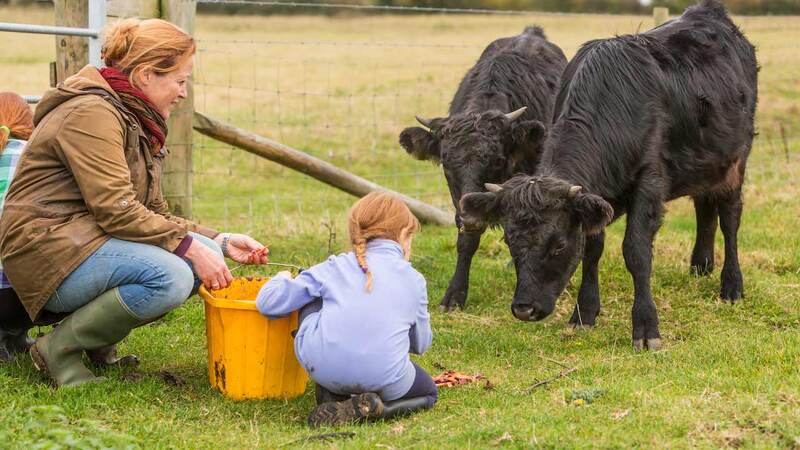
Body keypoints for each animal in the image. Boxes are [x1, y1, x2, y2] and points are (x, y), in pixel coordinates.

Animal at [460, 0, 760, 350]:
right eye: (510, 240)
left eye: (558, 245)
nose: (524, 308)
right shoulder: (594, 197)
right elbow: (593, 248)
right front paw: (584, 313)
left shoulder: (650, 183)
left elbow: (636, 251)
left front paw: (646, 327)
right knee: (704, 206)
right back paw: (700, 266)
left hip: (736, 162)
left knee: (730, 219)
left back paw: (731, 286)